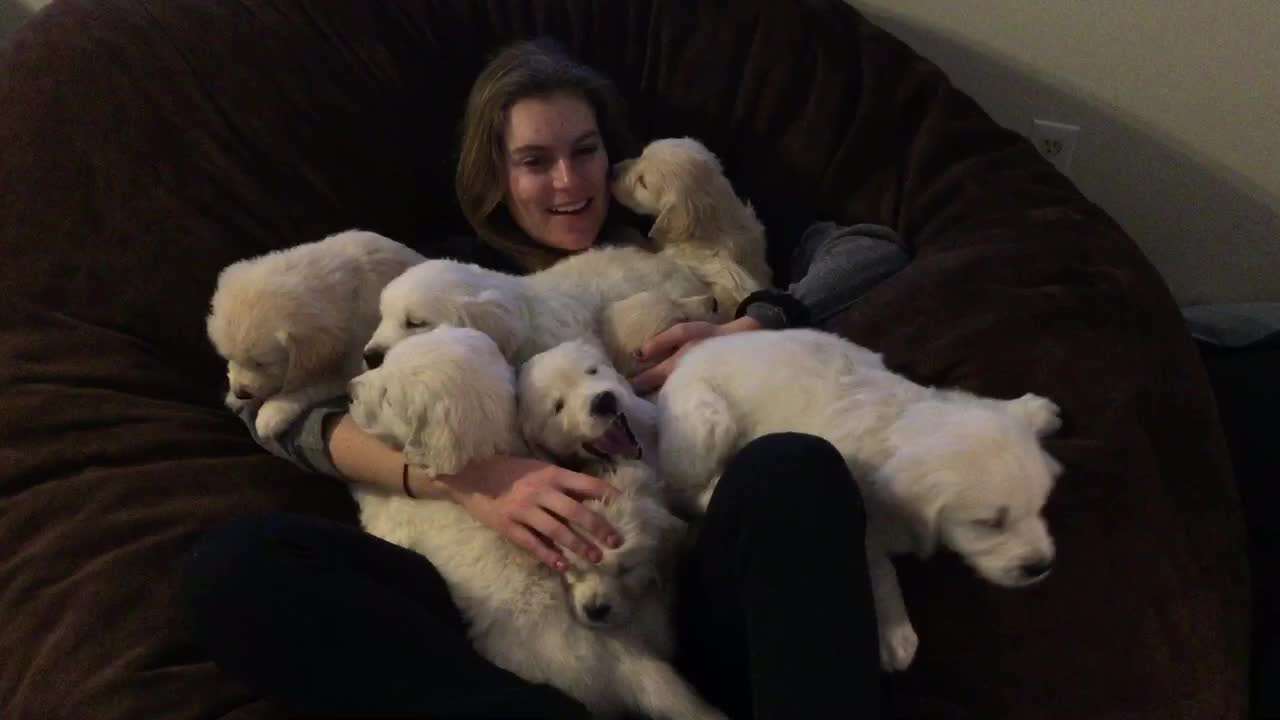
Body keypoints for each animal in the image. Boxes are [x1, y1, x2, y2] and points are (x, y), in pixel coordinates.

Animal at [204, 228, 424, 438]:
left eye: (261, 364)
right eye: (229, 357)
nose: (240, 393)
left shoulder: (349, 367)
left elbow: (308, 386)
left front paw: (273, 411)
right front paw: (234, 398)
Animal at [655, 327, 1064, 671]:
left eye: (1040, 507)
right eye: (989, 523)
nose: (1041, 567)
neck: (898, 425)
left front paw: (1033, 410)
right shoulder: (854, 513)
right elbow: (877, 566)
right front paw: (893, 633)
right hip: (706, 421)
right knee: (678, 486)